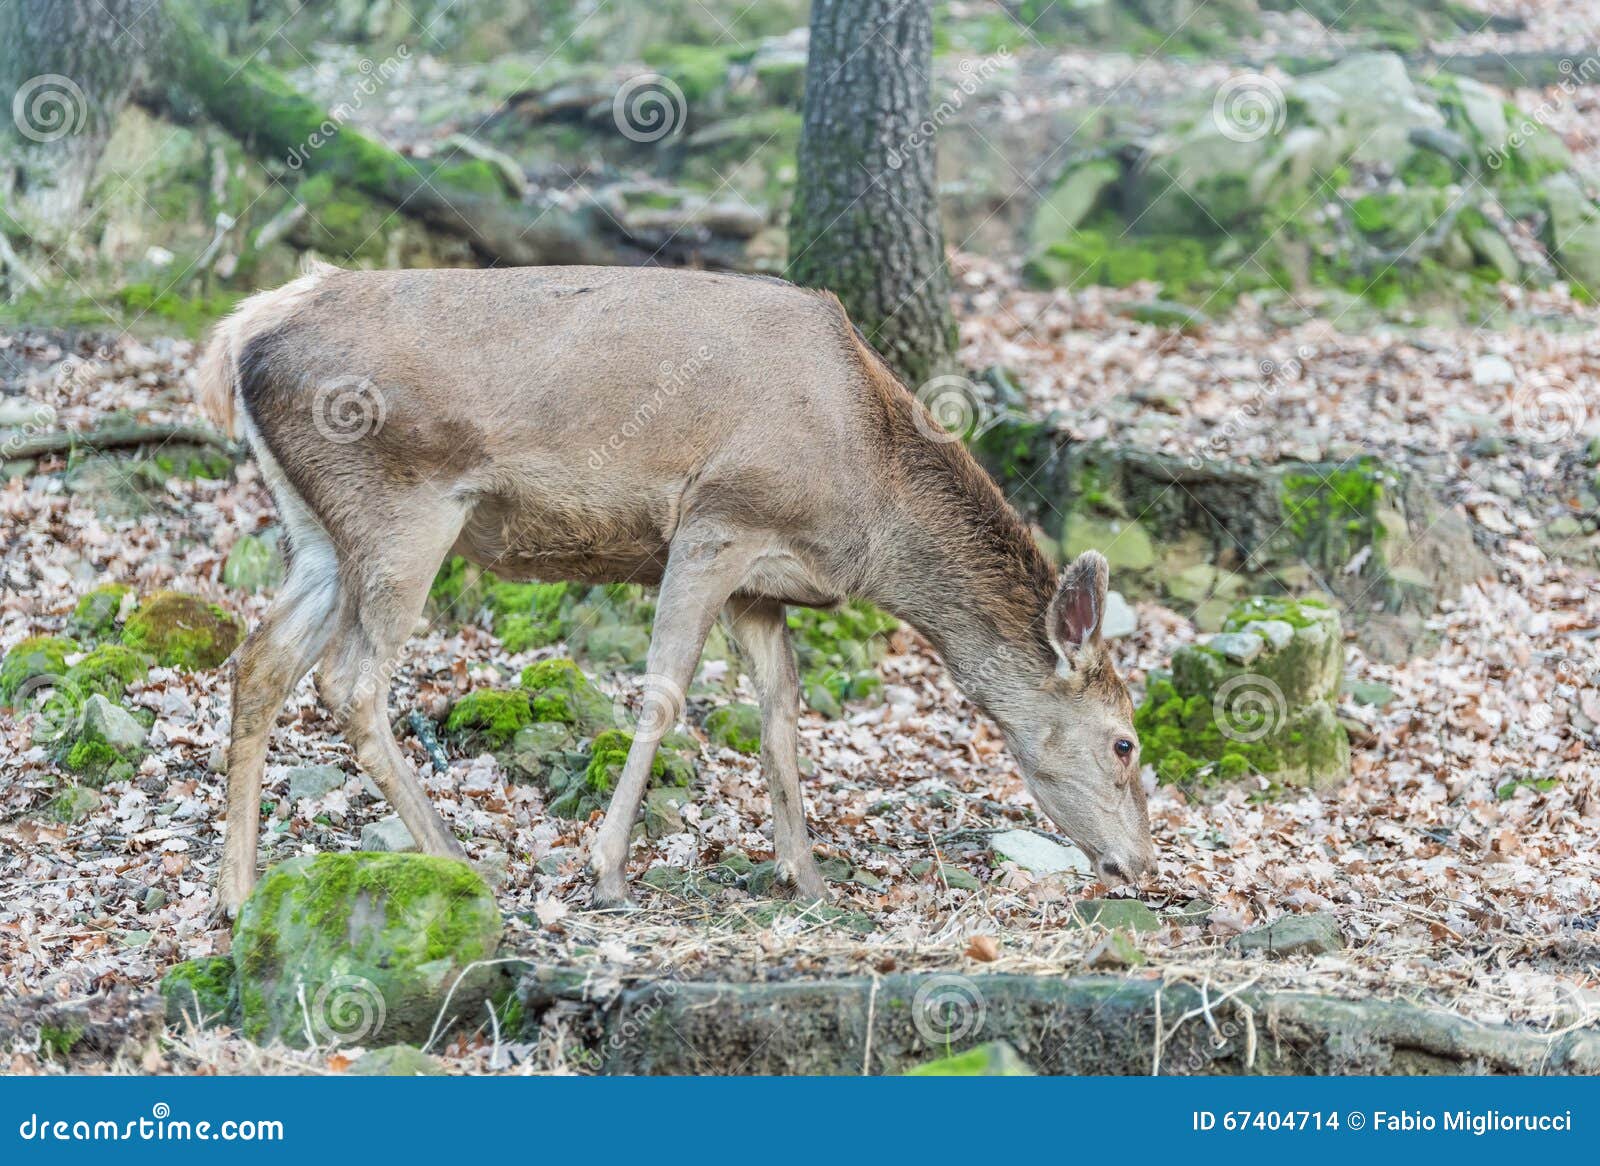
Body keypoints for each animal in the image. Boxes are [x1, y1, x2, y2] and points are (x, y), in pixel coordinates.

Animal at [196, 261, 1154, 917]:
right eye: (1125, 742)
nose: (1143, 863)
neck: (868, 504)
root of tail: (236, 336)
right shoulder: (718, 519)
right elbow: (663, 690)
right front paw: (608, 870)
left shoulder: (763, 587)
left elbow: (780, 713)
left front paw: (805, 876)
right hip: (401, 508)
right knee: (349, 680)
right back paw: (458, 861)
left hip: (318, 528)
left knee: (261, 660)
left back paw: (237, 892)